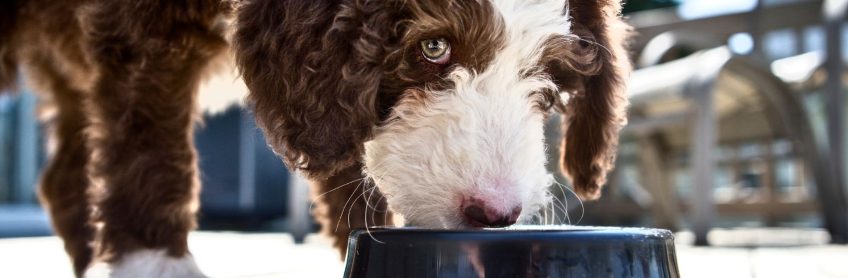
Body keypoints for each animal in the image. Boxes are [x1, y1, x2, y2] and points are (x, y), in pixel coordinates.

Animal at [1, 0, 628, 276]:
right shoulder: (144, 31)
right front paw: (155, 263)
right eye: (433, 47)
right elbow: (150, 153)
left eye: (544, 77)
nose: (495, 213)